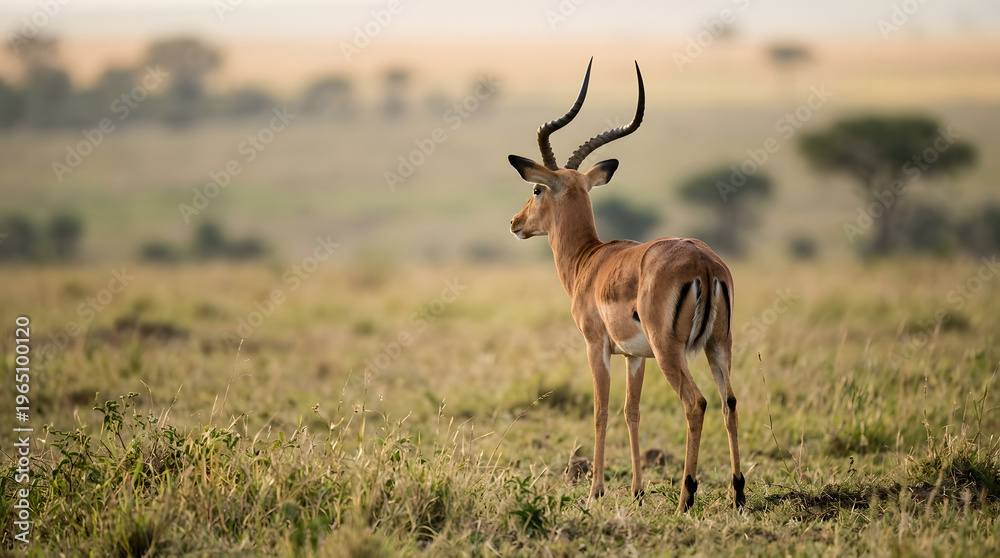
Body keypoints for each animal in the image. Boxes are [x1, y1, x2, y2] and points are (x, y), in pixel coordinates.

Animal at [507, 59, 745, 513]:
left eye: (537, 188)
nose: (515, 223)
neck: (589, 259)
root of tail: (705, 264)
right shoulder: (636, 356)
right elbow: (631, 412)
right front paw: (636, 491)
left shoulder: (596, 345)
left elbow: (600, 410)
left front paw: (596, 490)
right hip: (717, 345)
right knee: (730, 401)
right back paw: (739, 494)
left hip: (673, 352)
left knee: (696, 402)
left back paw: (686, 497)